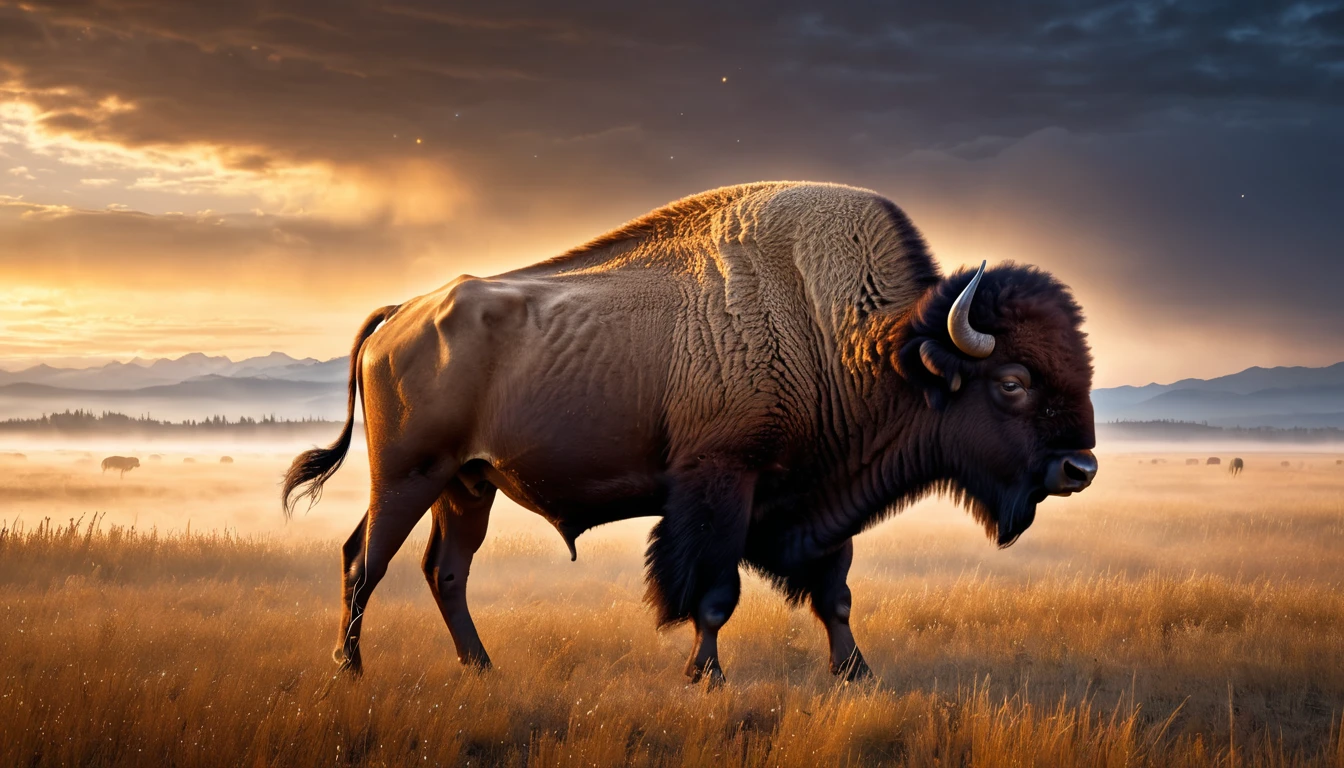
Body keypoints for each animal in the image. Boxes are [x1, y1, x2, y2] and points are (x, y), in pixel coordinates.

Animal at [283, 182, 1098, 685]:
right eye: (1014, 382)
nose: (1079, 469)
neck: (859, 341)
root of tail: (401, 312)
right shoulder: (720, 486)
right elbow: (713, 593)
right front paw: (706, 678)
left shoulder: (823, 501)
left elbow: (835, 593)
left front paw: (856, 674)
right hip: (408, 476)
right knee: (364, 561)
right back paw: (349, 671)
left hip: (467, 485)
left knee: (444, 572)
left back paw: (482, 669)